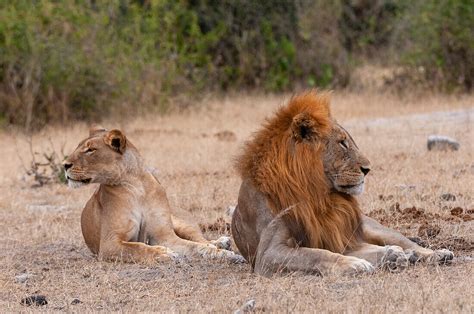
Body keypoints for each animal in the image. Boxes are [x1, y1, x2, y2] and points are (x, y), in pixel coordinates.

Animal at [64, 126, 244, 264]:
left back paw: (222, 243)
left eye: (90, 150)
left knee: (201, 239)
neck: (137, 187)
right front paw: (164, 253)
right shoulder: (109, 243)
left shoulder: (164, 236)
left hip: (181, 223)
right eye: (79, 147)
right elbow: (139, 247)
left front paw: (225, 254)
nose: (65, 165)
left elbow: (196, 246)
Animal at [231, 89, 454, 276]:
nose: (368, 169)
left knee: (406, 243)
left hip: (373, 227)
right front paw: (355, 263)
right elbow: (315, 254)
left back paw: (434, 254)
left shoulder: (339, 238)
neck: (317, 194)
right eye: (342, 143)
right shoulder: (268, 254)